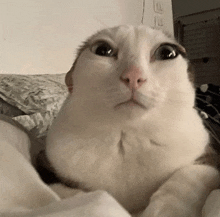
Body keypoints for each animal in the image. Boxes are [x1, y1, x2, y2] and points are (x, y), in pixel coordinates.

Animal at [42, 25, 220, 215]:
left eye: (167, 52)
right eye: (102, 50)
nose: (133, 76)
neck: (127, 137)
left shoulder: (210, 157)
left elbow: (187, 176)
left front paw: (164, 210)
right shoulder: (47, 163)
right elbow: (70, 194)